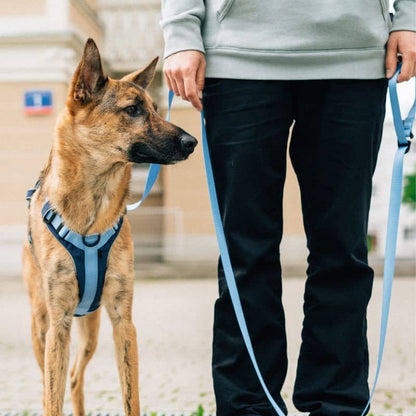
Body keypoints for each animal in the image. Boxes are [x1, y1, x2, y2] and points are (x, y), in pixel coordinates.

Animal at [22, 37, 197, 414]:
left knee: (75, 378)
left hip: (91, 329)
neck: (92, 210)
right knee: (51, 383)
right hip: (41, 326)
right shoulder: (57, 324)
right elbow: (51, 397)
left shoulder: (122, 321)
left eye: (157, 108)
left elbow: (131, 397)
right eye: (133, 110)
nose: (192, 143)